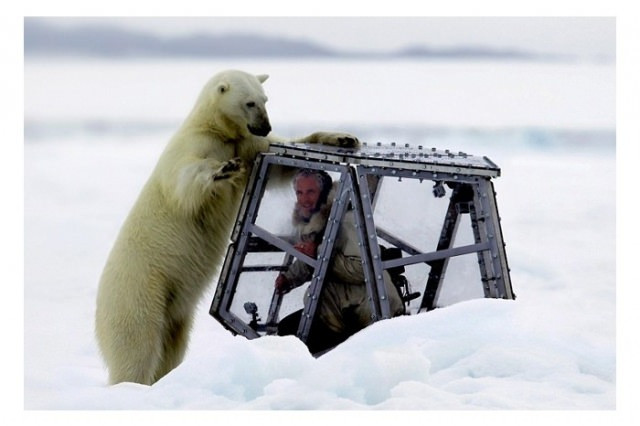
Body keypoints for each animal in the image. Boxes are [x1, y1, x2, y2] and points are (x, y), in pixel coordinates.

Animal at [94, 70, 360, 386]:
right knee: (137, 346)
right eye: (249, 103)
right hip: (140, 290)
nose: (265, 126)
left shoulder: (247, 145)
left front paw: (343, 138)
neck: (216, 129)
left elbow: (280, 161)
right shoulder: (195, 146)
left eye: (265, 99)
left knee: (172, 344)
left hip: (174, 310)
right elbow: (186, 181)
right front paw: (223, 170)